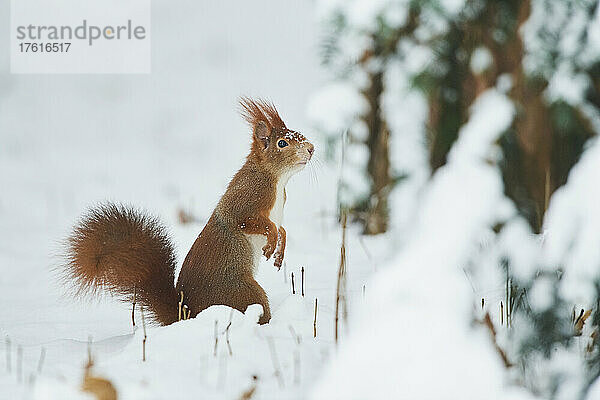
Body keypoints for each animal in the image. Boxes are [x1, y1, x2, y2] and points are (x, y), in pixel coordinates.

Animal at [63, 98, 314, 326]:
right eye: (282, 143)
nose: (311, 149)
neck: (277, 180)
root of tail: (186, 314)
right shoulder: (245, 198)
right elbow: (252, 222)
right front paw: (271, 242)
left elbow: (282, 228)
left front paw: (280, 249)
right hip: (243, 291)